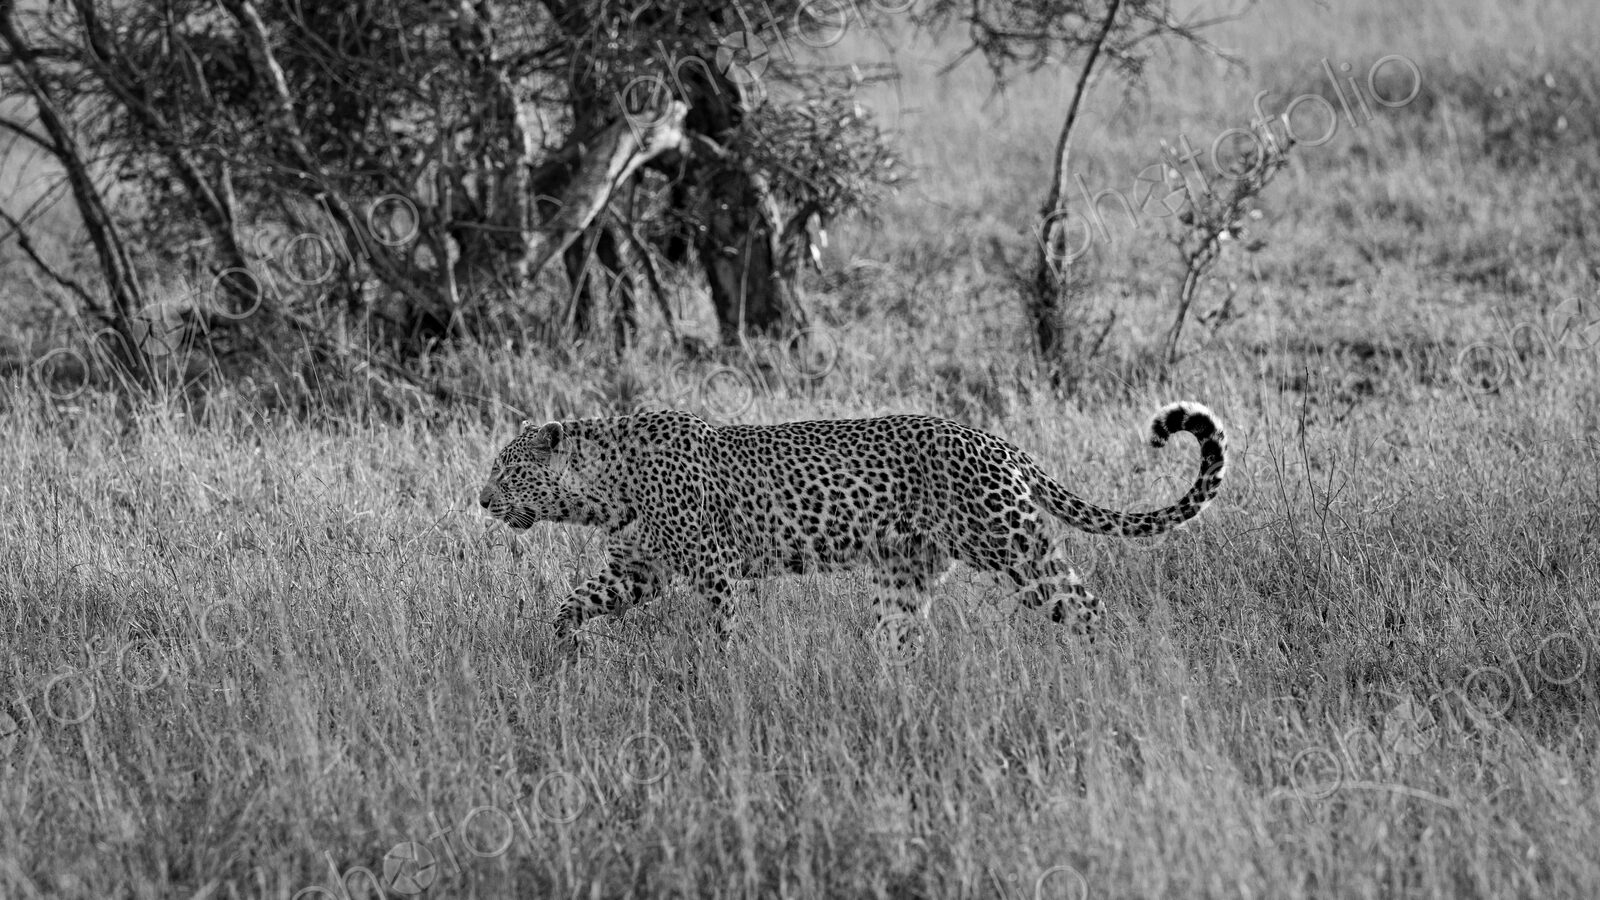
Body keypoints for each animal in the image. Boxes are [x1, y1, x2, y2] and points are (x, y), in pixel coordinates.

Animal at [478, 402, 1226, 656]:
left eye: (507, 471)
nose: (481, 500)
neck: (608, 486)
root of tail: (998, 443)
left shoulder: (715, 568)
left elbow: (725, 628)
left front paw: (728, 674)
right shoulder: (636, 569)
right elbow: (573, 601)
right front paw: (567, 648)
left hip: (1011, 544)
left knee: (1086, 604)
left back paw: (1103, 670)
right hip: (904, 573)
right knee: (901, 636)